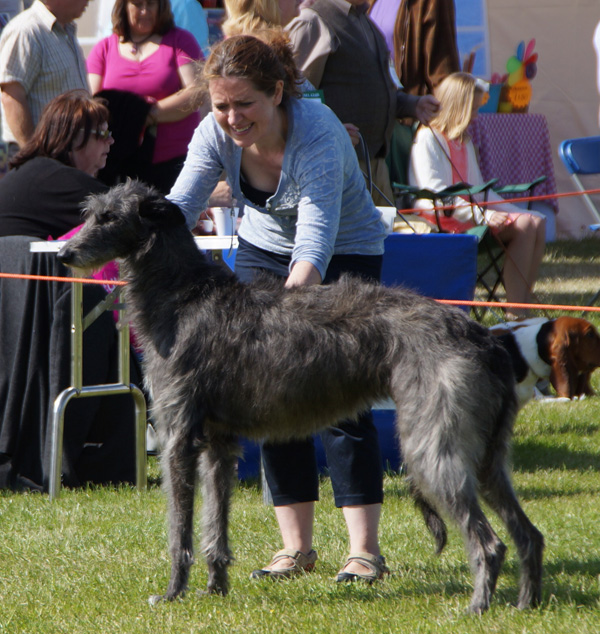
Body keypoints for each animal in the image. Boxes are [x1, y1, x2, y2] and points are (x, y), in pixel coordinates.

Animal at [59, 179, 544, 612]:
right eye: (90, 212)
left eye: (110, 217)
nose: (64, 254)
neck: (183, 295)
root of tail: (485, 338)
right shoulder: (218, 443)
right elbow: (215, 525)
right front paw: (215, 589)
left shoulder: (178, 436)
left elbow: (180, 529)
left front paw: (173, 593)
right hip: (487, 455)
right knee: (528, 533)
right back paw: (526, 604)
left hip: (432, 446)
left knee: (489, 542)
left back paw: (476, 607)